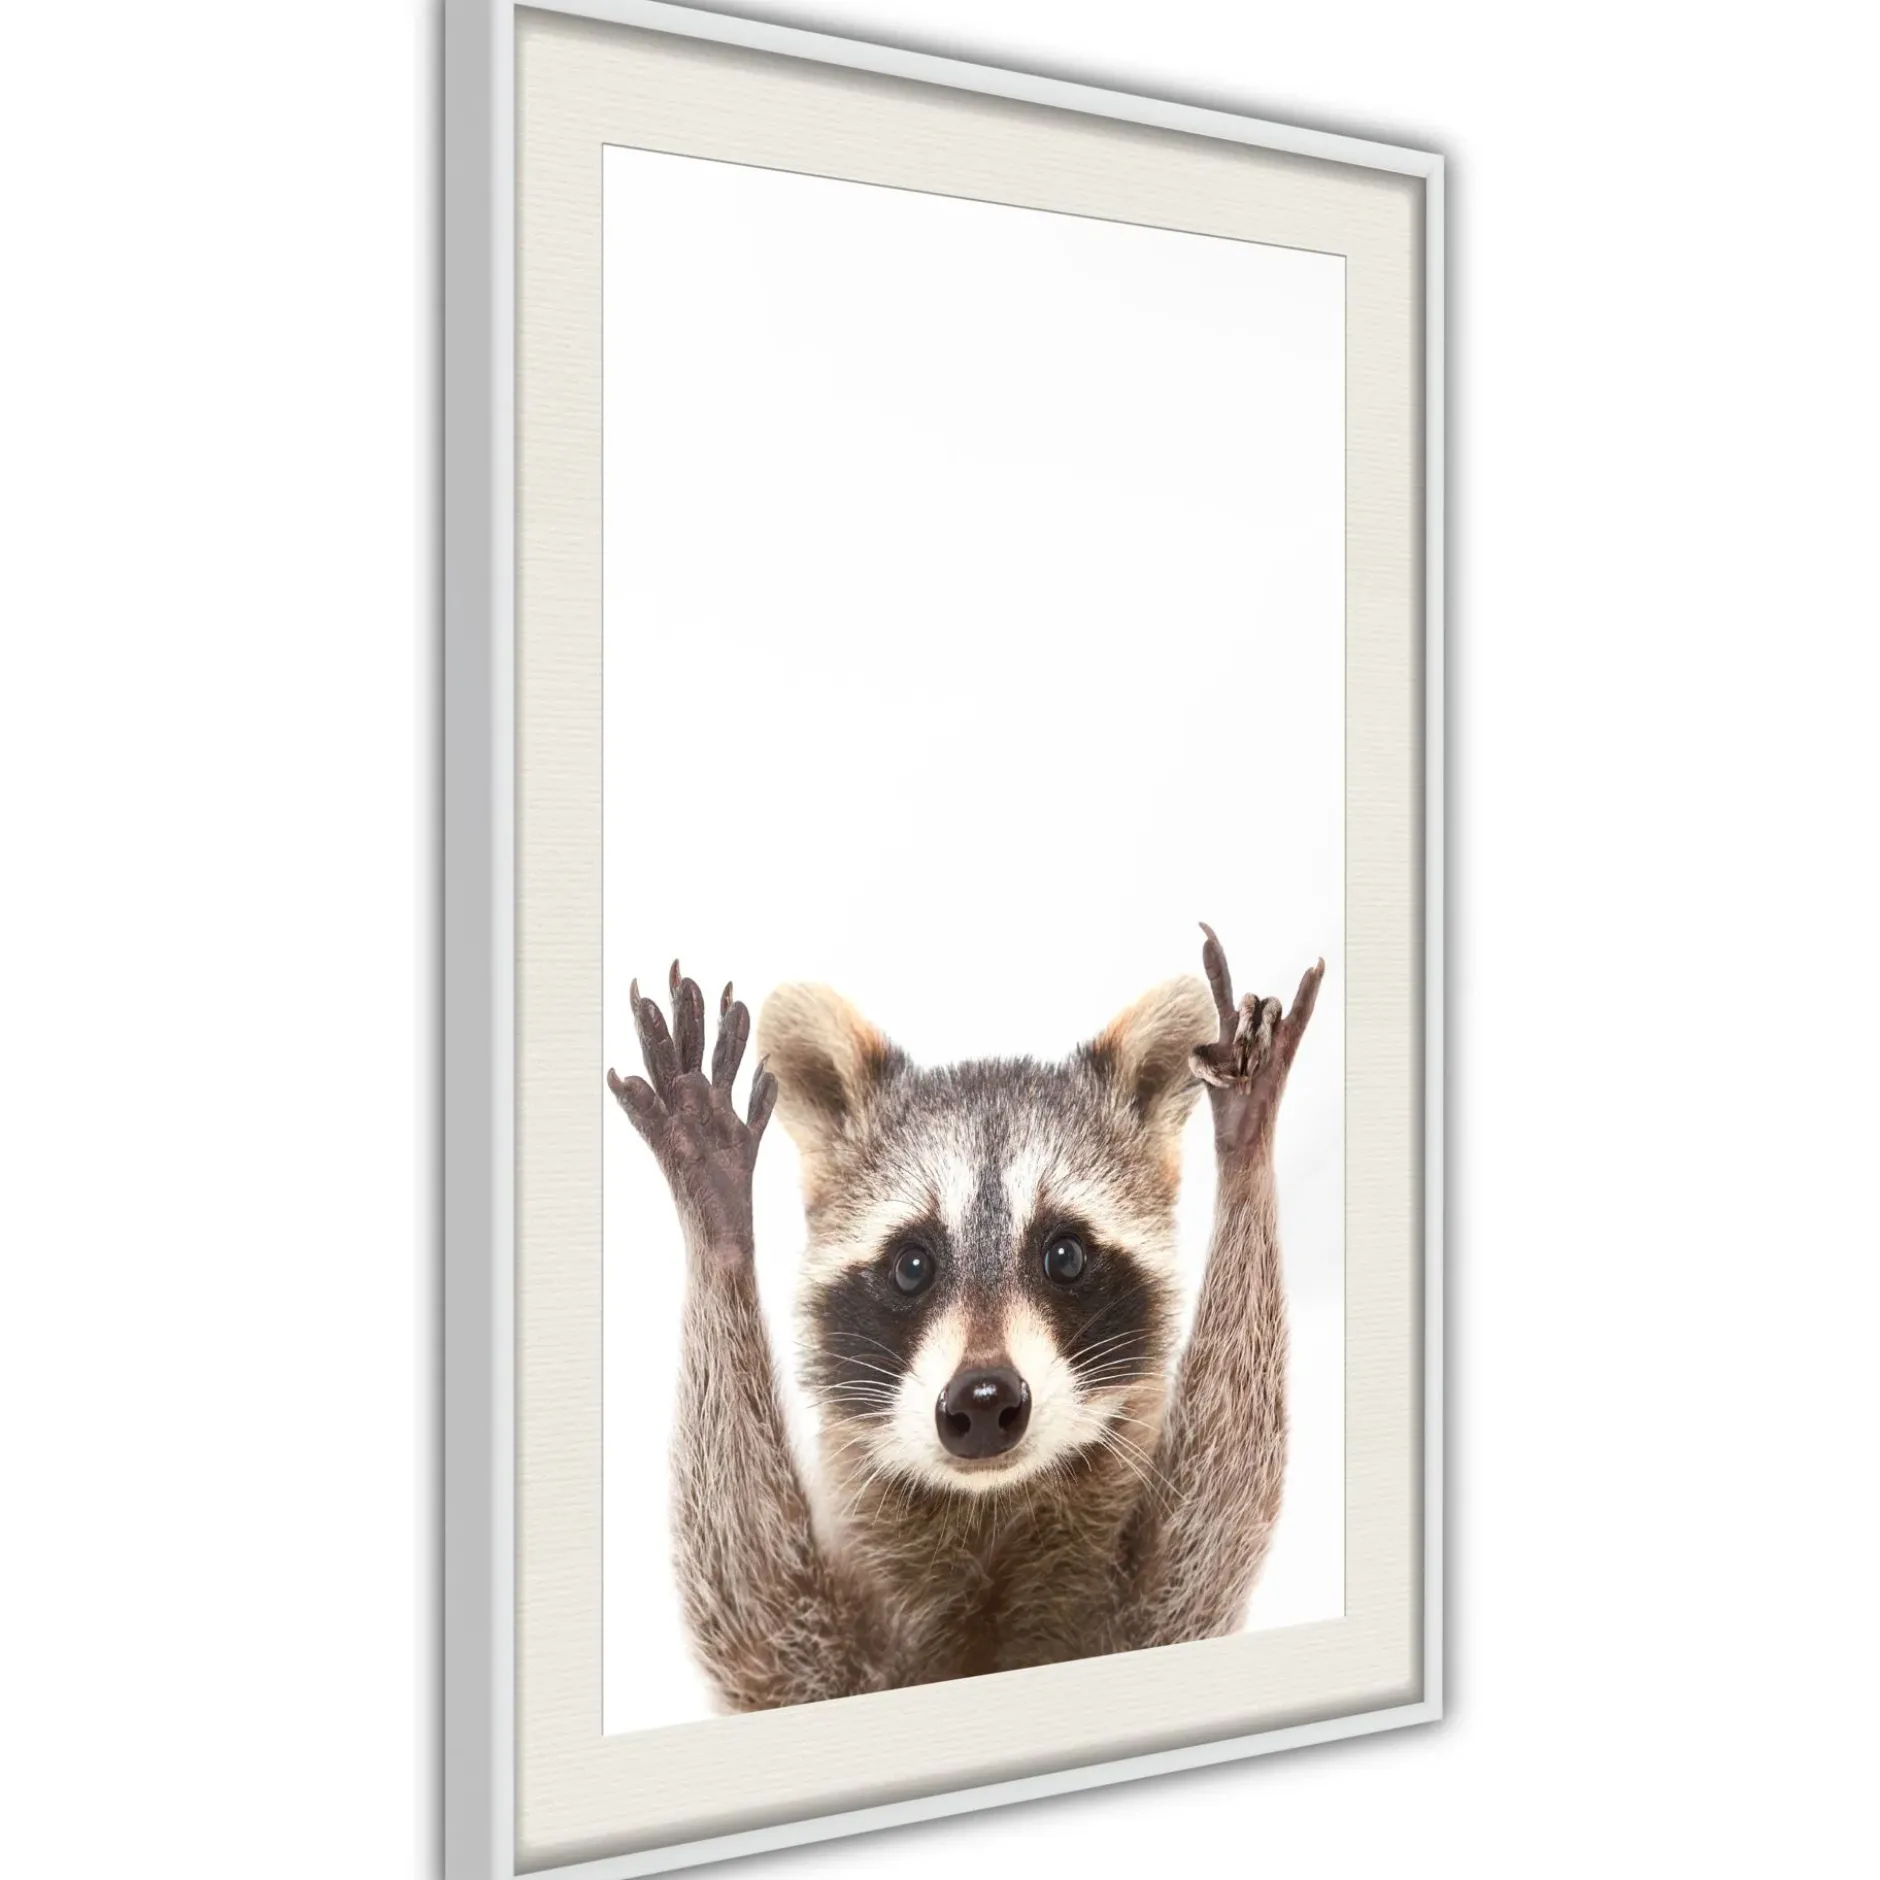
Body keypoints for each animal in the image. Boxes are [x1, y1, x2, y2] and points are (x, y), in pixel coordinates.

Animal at [606, 923, 1322, 1712]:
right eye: (911, 1266)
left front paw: (1247, 1146)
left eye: (1064, 1255)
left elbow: (1211, 1528)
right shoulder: (815, 1662)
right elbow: (753, 1612)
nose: (983, 1400)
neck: (988, 1511)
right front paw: (718, 1219)